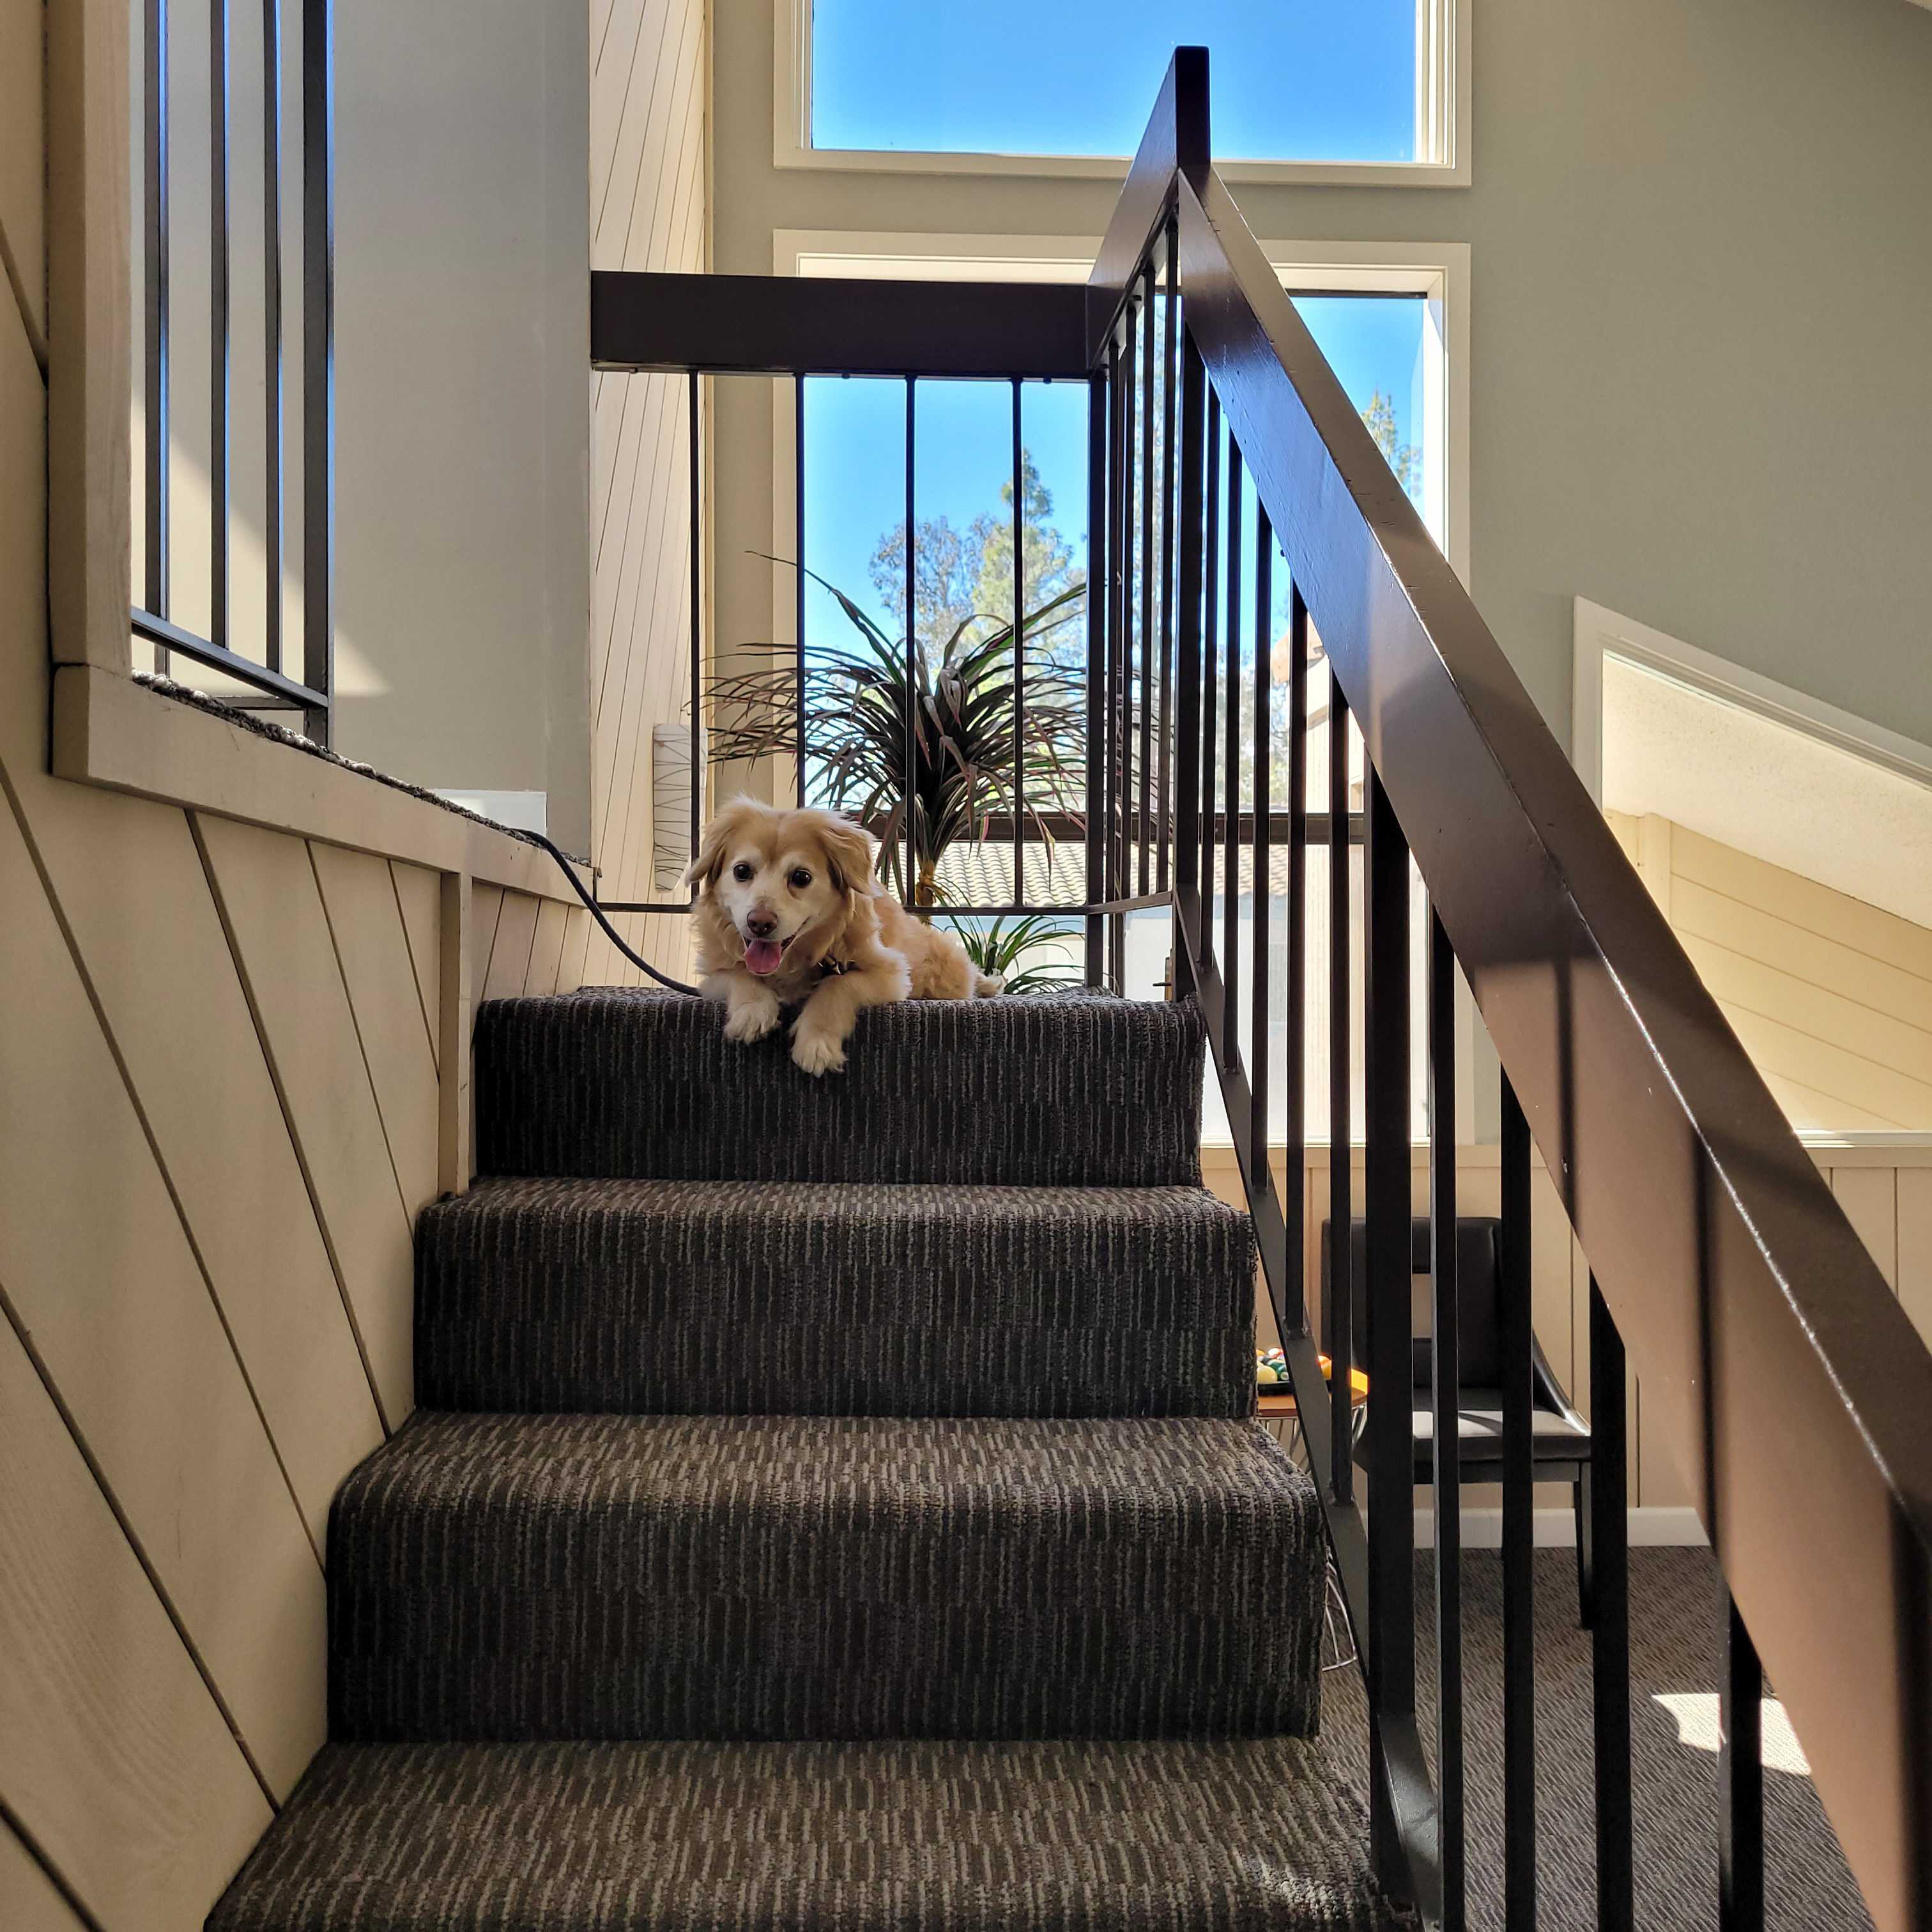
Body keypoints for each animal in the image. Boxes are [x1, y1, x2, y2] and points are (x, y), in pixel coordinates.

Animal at [687, 795, 1004, 1082]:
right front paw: (752, 1011)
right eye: (742, 871)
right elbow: (738, 974)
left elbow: (838, 984)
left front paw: (816, 1043)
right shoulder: (711, 976)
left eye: (801, 877)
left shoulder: (891, 973)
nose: (760, 923)